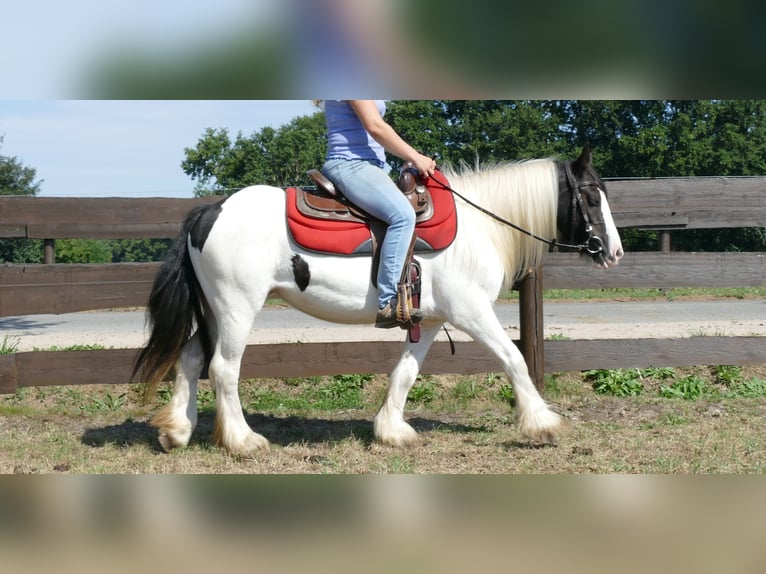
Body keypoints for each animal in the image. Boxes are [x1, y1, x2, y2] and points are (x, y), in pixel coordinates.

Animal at [132, 145, 624, 460]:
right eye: (590, 195)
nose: (614, 251)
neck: (478, 227)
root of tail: (210, 211)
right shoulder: (472, 312)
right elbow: (515, 360)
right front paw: (543, 423)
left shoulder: (431, 319)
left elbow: (404, 372)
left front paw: (391, 430)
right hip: (237, 309)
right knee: (223, 369)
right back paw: (242, 441)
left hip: (215, 311)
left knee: (190, 359)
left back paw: (177, 431)